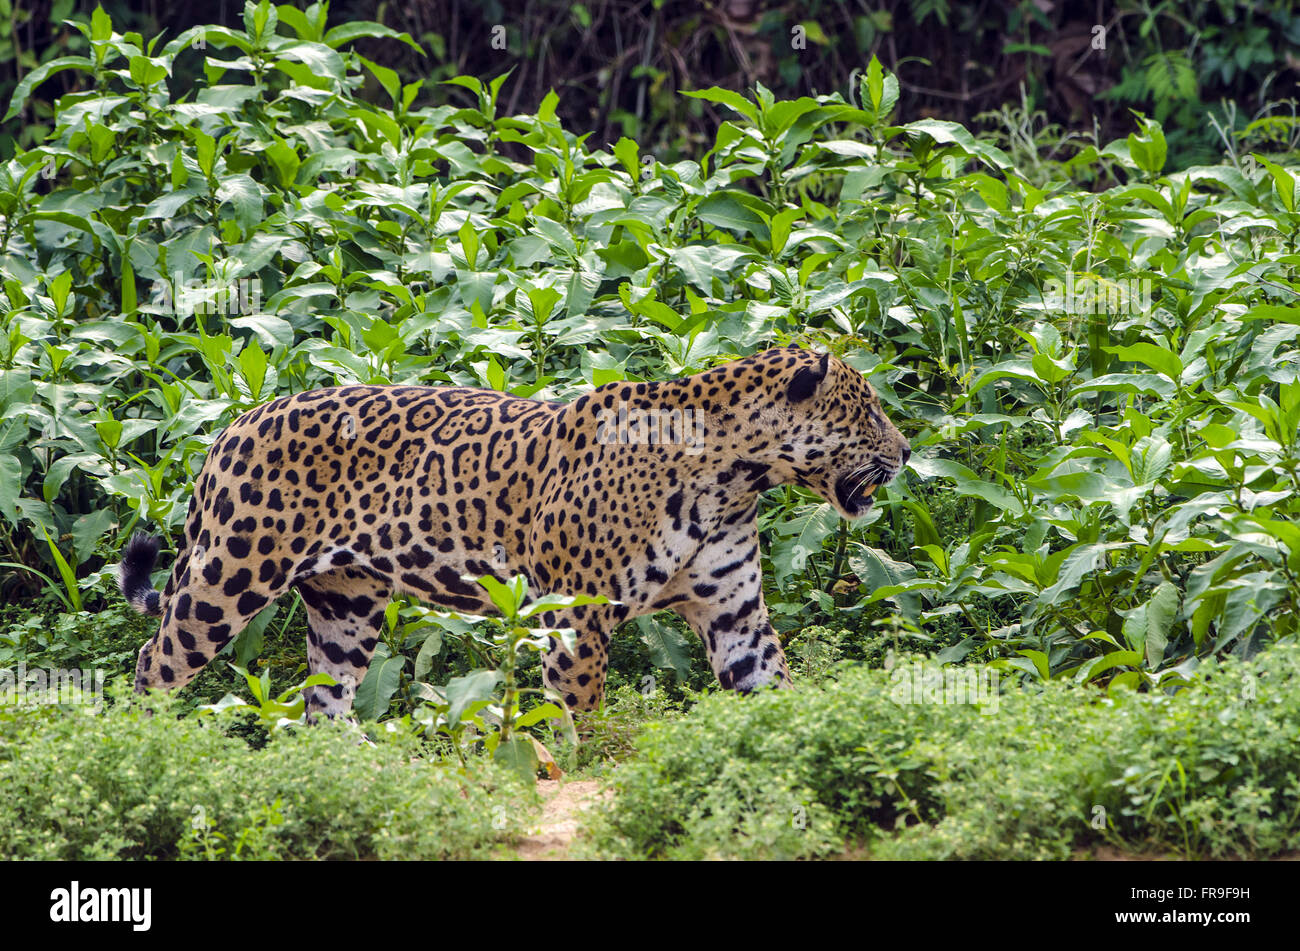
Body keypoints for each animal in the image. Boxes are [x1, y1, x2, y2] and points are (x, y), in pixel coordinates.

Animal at [120, 346, 910, 718]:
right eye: (869, 409)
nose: (906, 452)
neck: (732, 479)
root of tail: (233, 424)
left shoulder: (736, 613)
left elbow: (774, 690)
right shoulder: (576, 618)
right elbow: (579, 716)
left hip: (346, 603)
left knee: (325, 699)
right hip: (227, 576)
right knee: (154, 663)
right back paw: (146, 743)